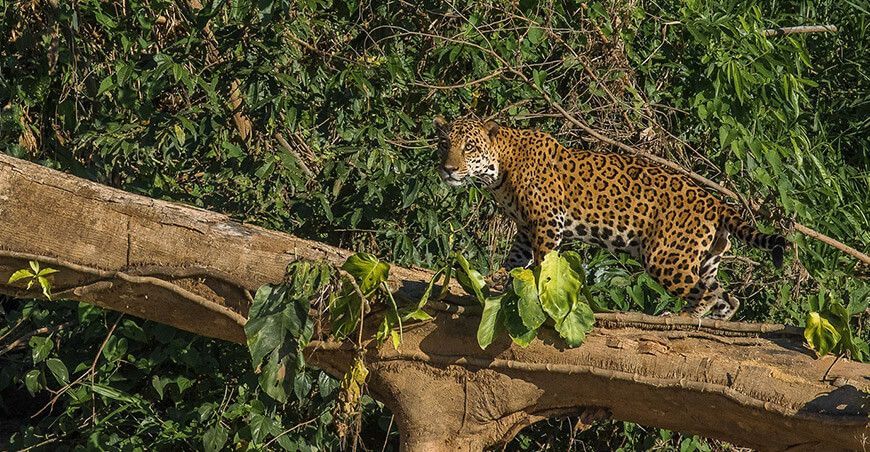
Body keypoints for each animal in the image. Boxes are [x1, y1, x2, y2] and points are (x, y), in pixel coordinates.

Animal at [434, 116, 786, 321]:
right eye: (444, 144)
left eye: (469, 147)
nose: (447, 169)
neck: (498, 169)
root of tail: (716, 203)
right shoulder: (524, 228)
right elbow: (516, 260)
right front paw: (495, 281)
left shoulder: (546, 221)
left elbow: (543, 262)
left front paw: (538, 292)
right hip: (704, 259)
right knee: (728, 298)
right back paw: (714, 323)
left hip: (666, 257)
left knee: (708, 293)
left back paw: (684, 317)